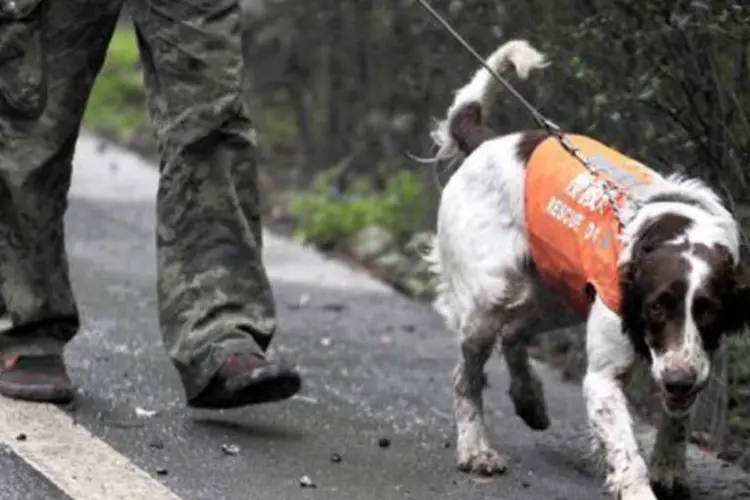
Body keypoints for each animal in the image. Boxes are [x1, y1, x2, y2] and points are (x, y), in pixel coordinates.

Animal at [426, 40, 748, 500]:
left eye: (709, 310)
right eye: (656, 307)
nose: (679, 381)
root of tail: (489, 142)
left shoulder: (694, 356)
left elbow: (677, 419)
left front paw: (669, 469)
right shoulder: (604, 377)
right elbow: (625, 449)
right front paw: (640, 487)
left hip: (558, 296)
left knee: (515, 333)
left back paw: (530, 400)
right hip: (490, 300)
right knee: (466, 376)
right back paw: (477, 450)